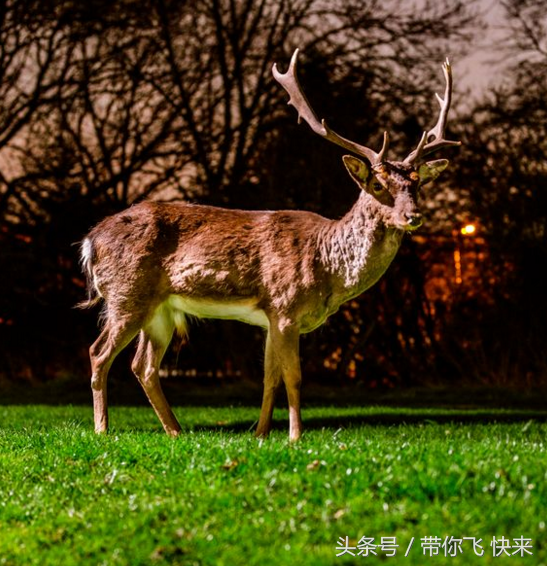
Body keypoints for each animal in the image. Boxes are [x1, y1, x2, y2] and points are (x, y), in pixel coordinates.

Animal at [79, 50, 460, 444]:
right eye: (378, 184)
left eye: (416, 184)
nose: (413, 216)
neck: (327, 266)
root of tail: (91, 240)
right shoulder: (285, 307)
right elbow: (293, 376)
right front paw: (295, 436)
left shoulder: (271, 319)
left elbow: (269, 378)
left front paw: (260, 433)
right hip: (126, 294)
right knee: (98, 353)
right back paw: (102, 429)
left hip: (161, 310)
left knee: (144, 366)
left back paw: (175, 430)